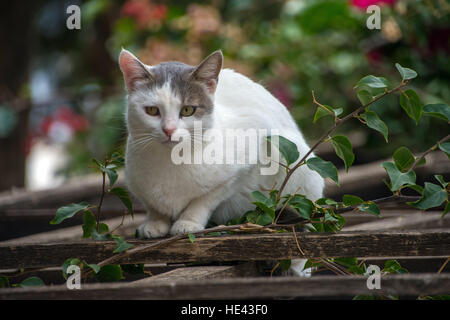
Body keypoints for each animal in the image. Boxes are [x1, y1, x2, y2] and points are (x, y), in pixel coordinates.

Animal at [119, 48, 324, 241]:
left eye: (187, 110)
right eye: (152, 111)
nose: (169, 130)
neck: (170, 161)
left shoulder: (247, 155)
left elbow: (204, 200)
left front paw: (188, 222)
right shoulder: (136, 182)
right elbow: (153, 205)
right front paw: (155, 223)